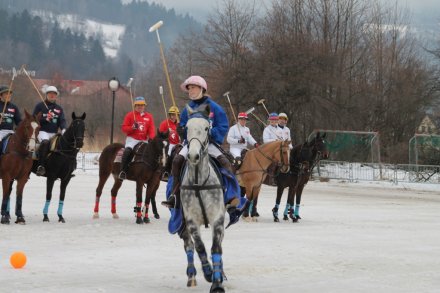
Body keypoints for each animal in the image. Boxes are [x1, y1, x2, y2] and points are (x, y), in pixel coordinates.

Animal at [179, 105, 227, 292]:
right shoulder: (191, 220)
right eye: (186, 128)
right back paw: (191, 275)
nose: (193, 155)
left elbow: (216, 248)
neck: (199, 182)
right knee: (189, 245)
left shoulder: (217, 218)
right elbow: (199, 247)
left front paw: (217, 282)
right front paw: (208, 272)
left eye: (207, 128)